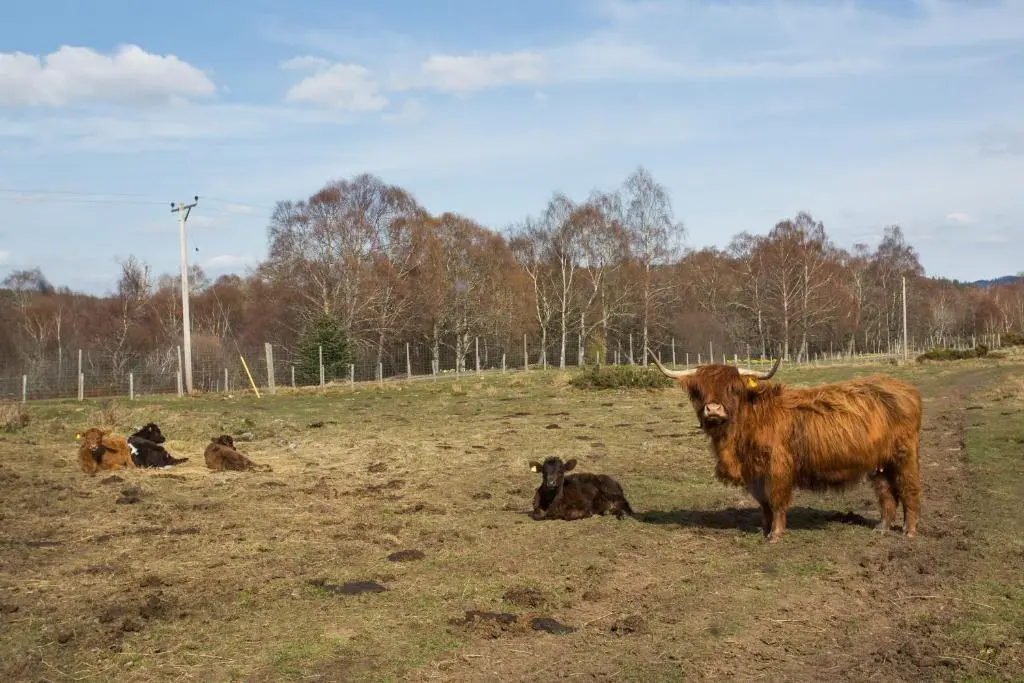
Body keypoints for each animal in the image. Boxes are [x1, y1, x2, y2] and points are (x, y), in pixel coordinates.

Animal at [647, 350, 922, 543]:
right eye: (698, 390)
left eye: (733, 389)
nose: (713, 409)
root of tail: (906, 388)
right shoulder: (754, 472)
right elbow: (764, 504)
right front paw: (764, 529)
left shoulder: (777, 468)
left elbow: (777, 500)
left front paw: (776, 535)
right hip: (879, 463)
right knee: (887, 494)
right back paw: (882, 528)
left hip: (903, 456)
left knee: (908, 490)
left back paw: (908, 531)